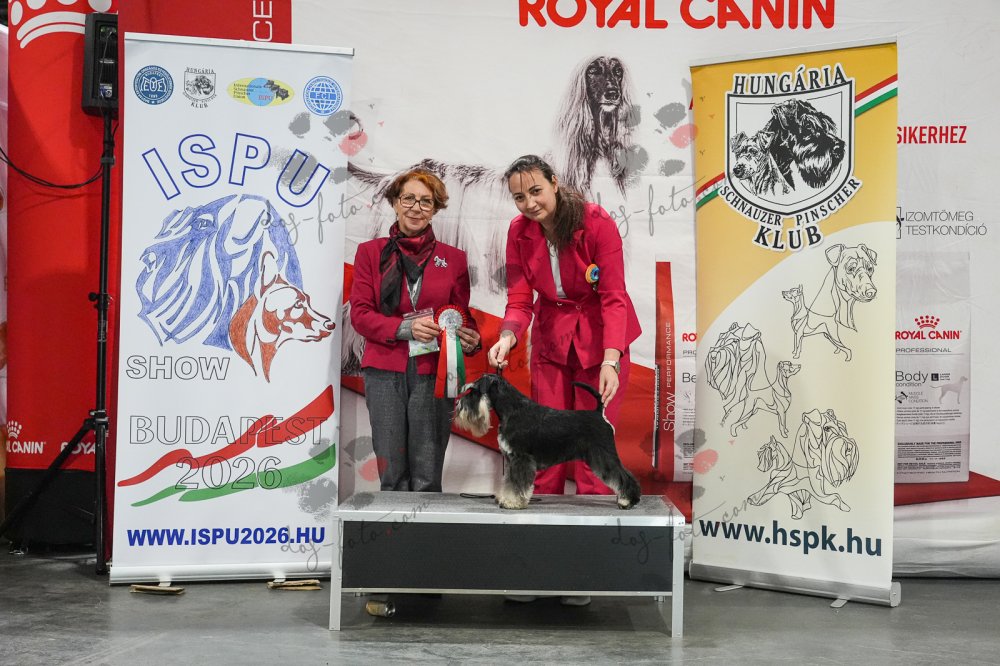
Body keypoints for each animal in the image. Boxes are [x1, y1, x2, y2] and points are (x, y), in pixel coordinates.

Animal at [453, 374, 641, 510]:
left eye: (474, 391)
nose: (459, 406)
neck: (512, 410)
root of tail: (599, 414)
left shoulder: (521, 459)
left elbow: (518, 483)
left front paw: (513, 502)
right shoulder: (512, 460)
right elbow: (510, 482)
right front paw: (506, 498)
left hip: (604, 456)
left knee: (623, 476)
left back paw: (627, 501)